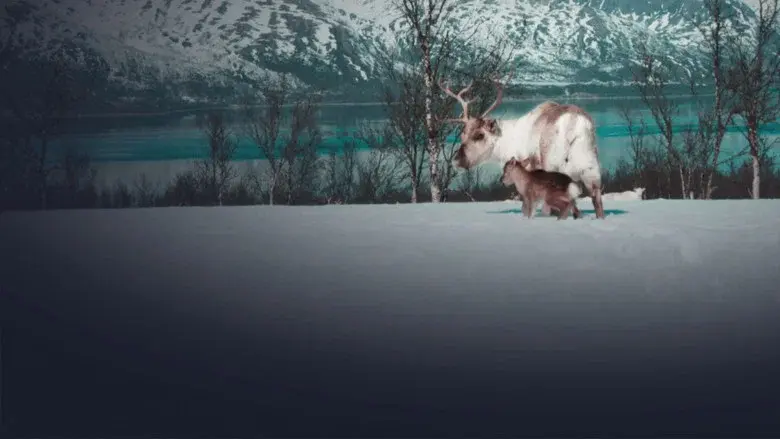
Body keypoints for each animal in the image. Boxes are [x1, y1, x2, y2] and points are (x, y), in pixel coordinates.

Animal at [439, 72, 605, 219]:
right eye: (462, 135)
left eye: (479, 135)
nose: (456, 160)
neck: (508, 144)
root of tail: (573, 124)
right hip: (591, 167)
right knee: (596, 200)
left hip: (554, 165)